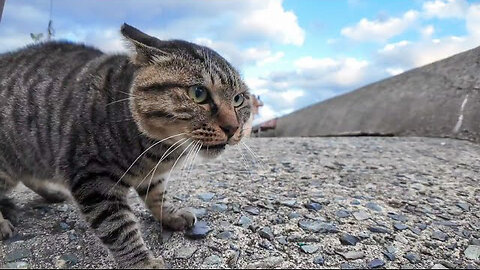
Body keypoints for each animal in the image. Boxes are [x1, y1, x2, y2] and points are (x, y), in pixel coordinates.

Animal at [0, 23, 253, 268]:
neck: (160, 150)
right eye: (198, 93)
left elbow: (157, 196)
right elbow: (118, 227)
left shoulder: (153, 175)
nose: (233, 128)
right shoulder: (93, 178)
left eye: (239, 99)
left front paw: (170, 215)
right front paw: (143, 262)